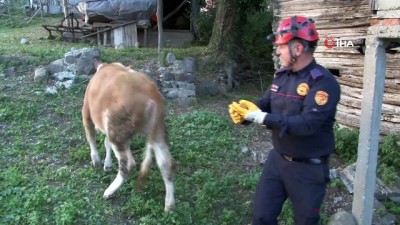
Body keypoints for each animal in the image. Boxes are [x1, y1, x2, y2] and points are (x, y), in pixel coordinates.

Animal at [82, 61, 174, 211]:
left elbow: (91, 137)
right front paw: (107, 164)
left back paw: (109, 191)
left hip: (117, 129)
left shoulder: (86, 113)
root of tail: (151, 96)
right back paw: (169, 206)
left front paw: (97, 161)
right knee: (166, 164)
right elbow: (106, 143)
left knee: (128, 164)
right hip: (158, 129)